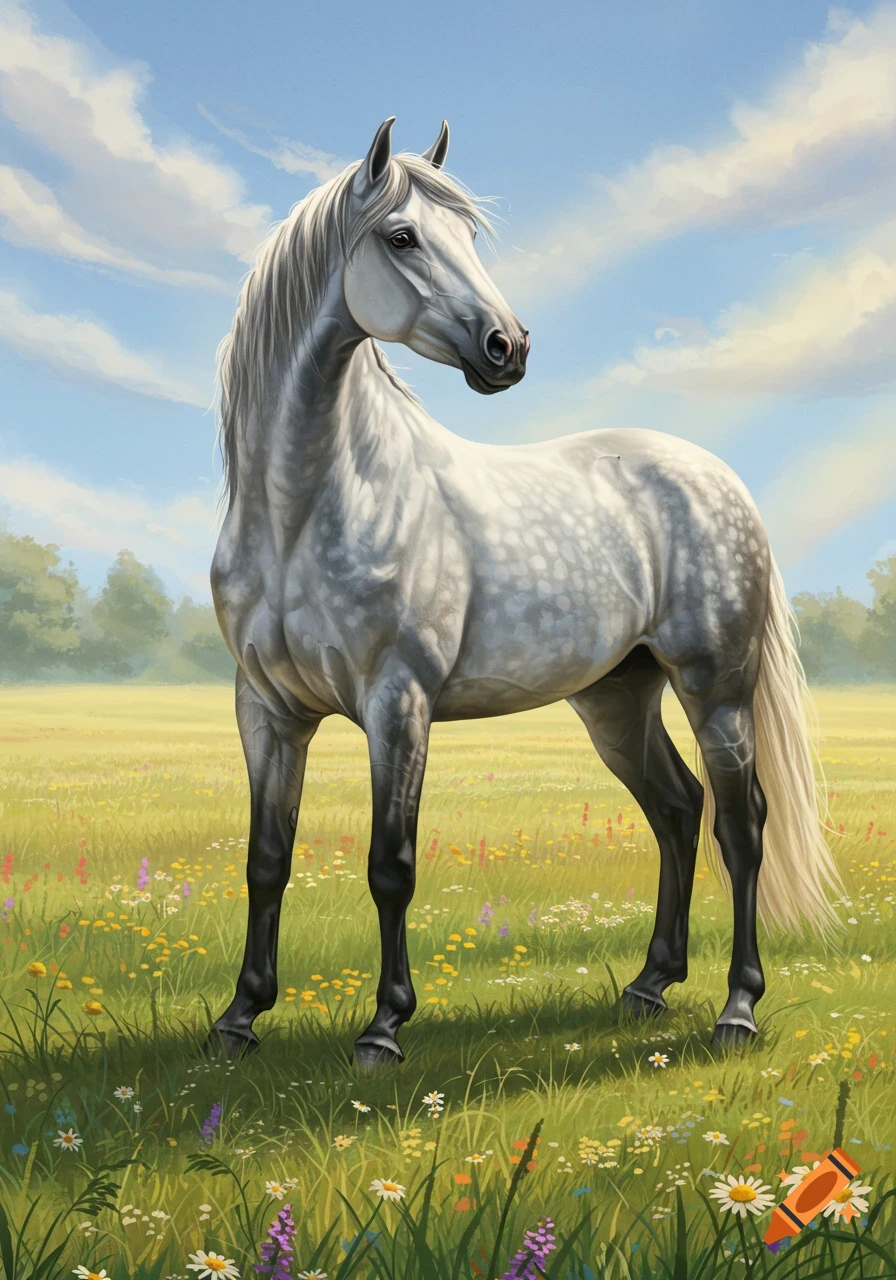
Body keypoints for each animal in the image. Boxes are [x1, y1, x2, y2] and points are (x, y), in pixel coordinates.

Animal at [208, 117, 842, 1071]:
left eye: (470, 237)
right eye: (402, 237)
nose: (508, 348)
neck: (307, 505)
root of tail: (718, 476)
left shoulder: (398, 702)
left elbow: (390, 865)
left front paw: (385, 1028)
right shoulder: (268, 709)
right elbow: (266, 860)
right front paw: (239, 1019)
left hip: (716, 689)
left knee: (740, 825)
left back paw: (738, 1009)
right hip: (617, 698)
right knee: (677, 809)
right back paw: (650, 986)